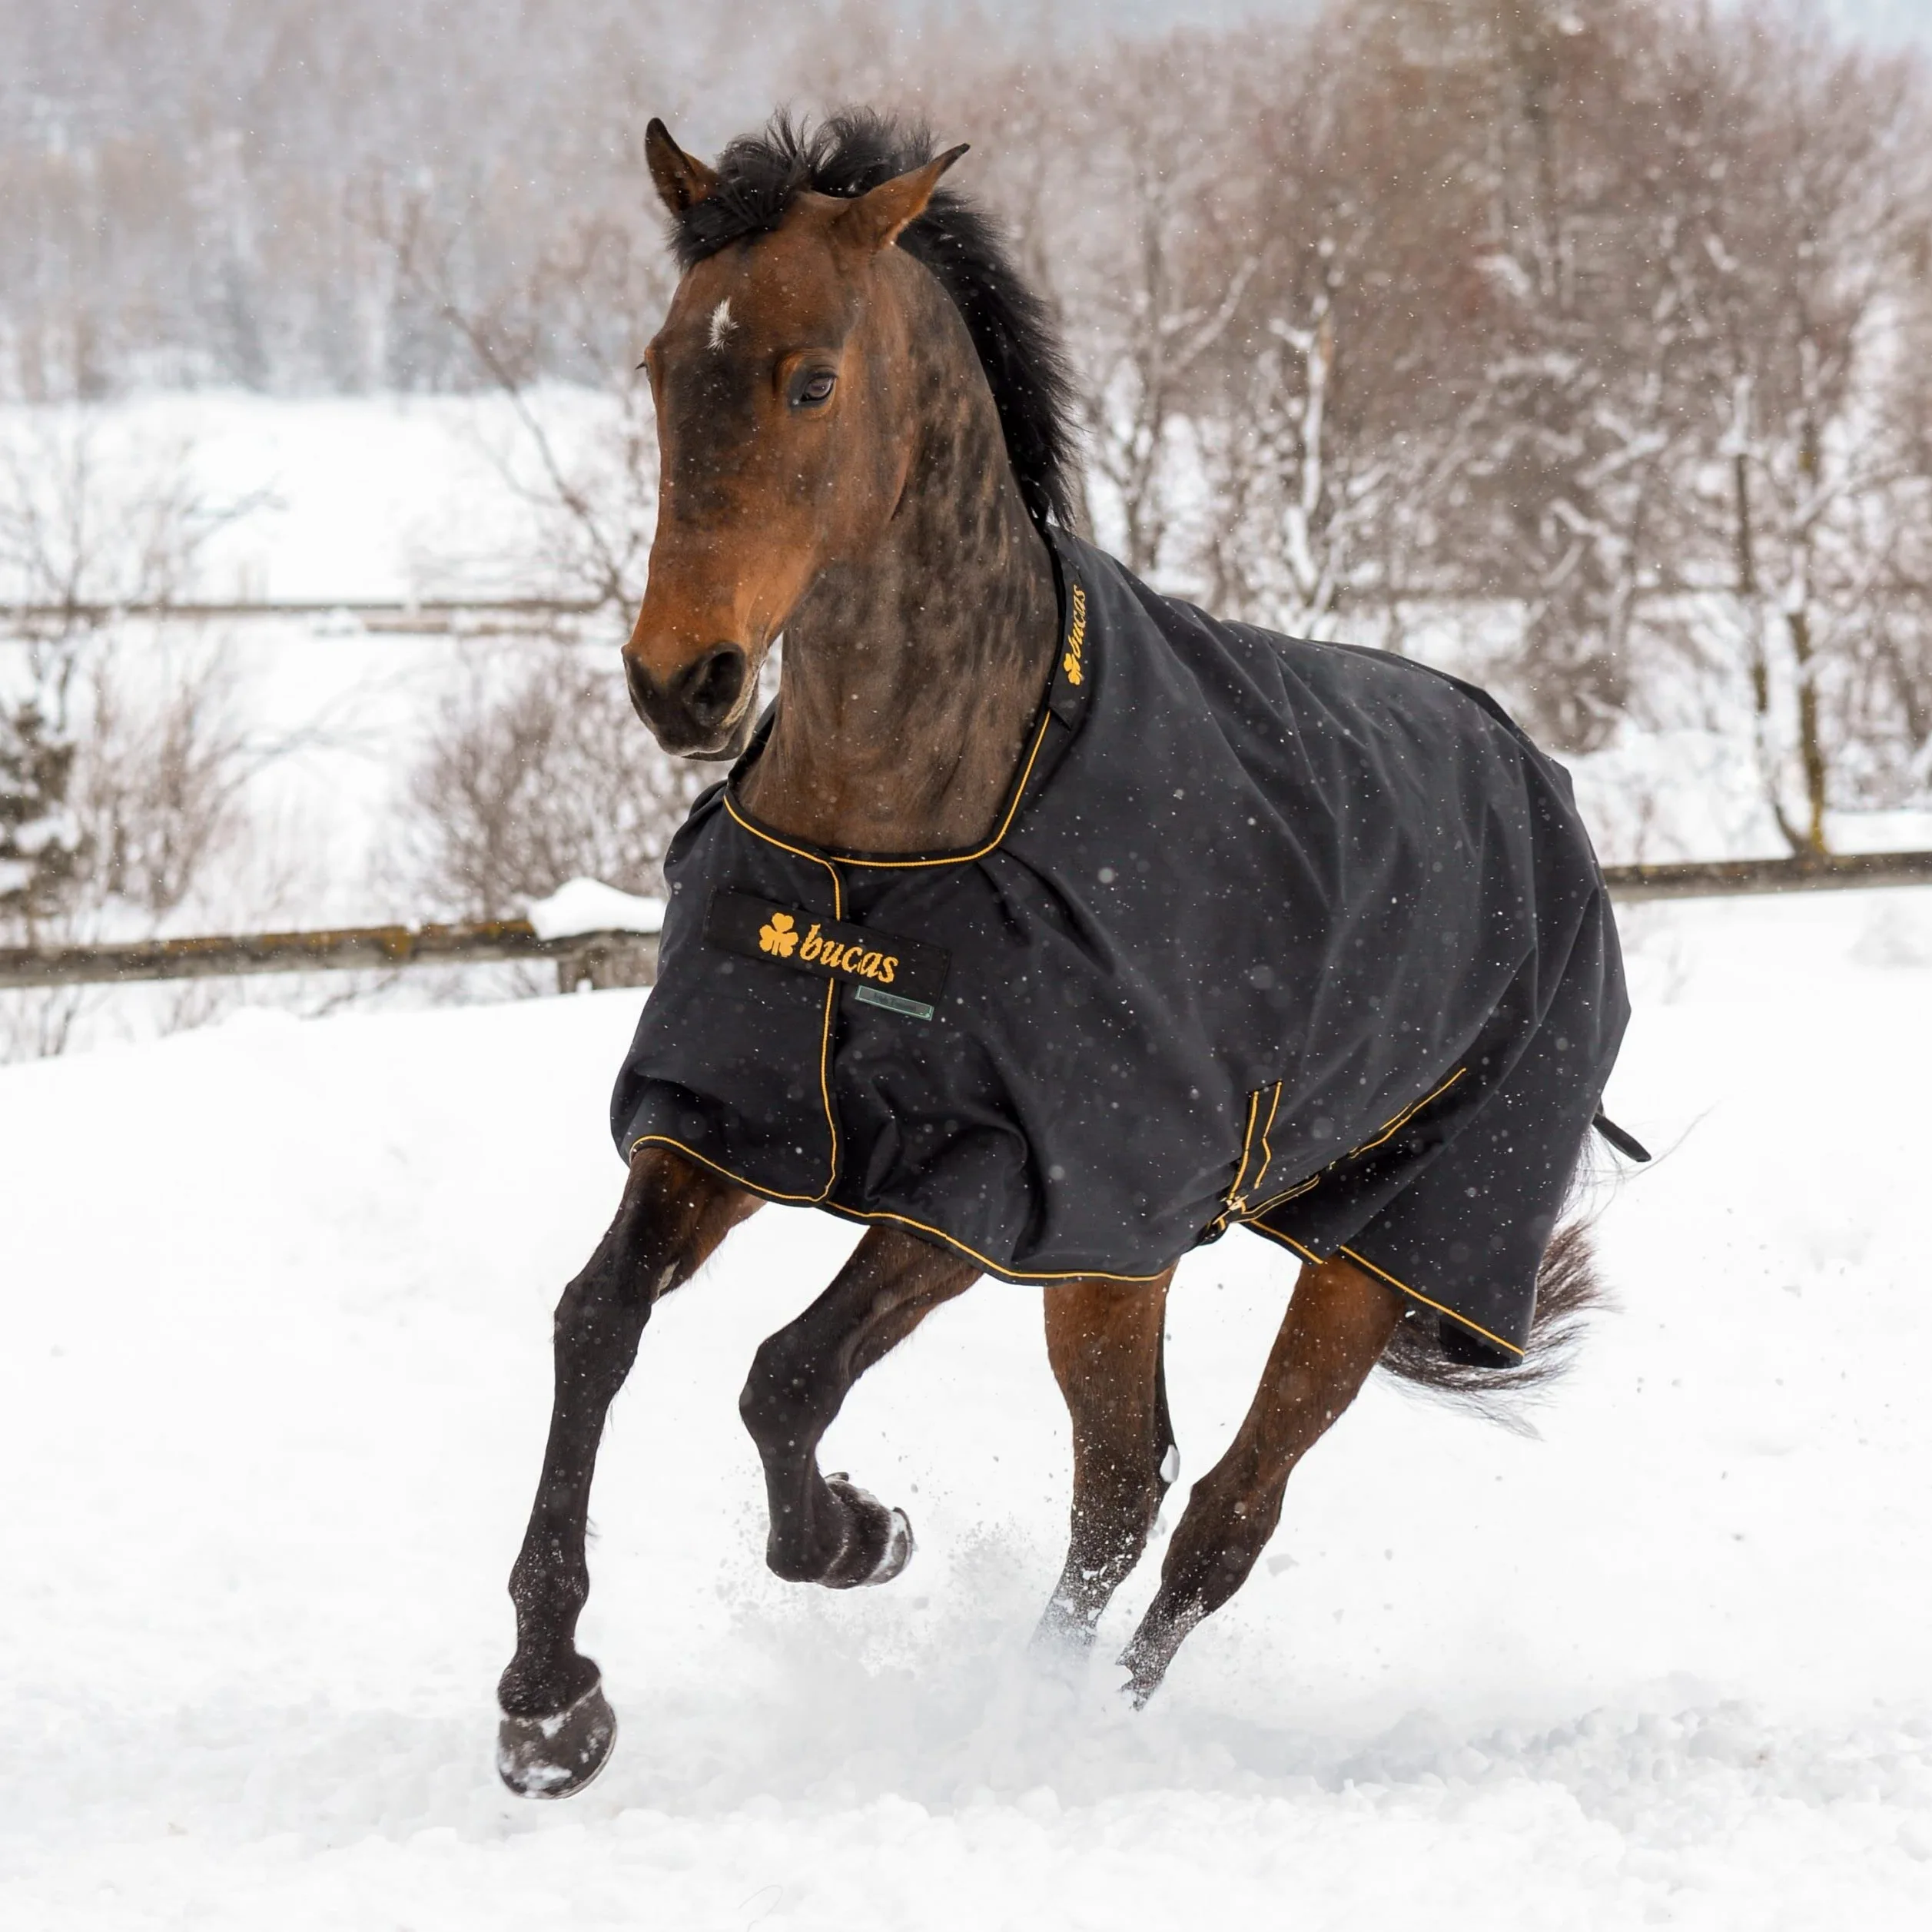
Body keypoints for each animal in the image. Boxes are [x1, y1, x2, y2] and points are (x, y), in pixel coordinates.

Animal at [494, 110, 1637, 1799]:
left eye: (809, 379)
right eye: (657, 366)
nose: (678, 681)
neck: (893, 841)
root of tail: (1533, 776)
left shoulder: (992, 1181)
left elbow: (784, 1373)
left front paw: (860, 1535)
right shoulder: (735, 1123)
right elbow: (596, 1323)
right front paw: (549, 1700)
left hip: (1366, 1249)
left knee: (1218, 1512)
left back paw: (1054, 1731)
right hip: (1122, 1260)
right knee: (1121, 1481)